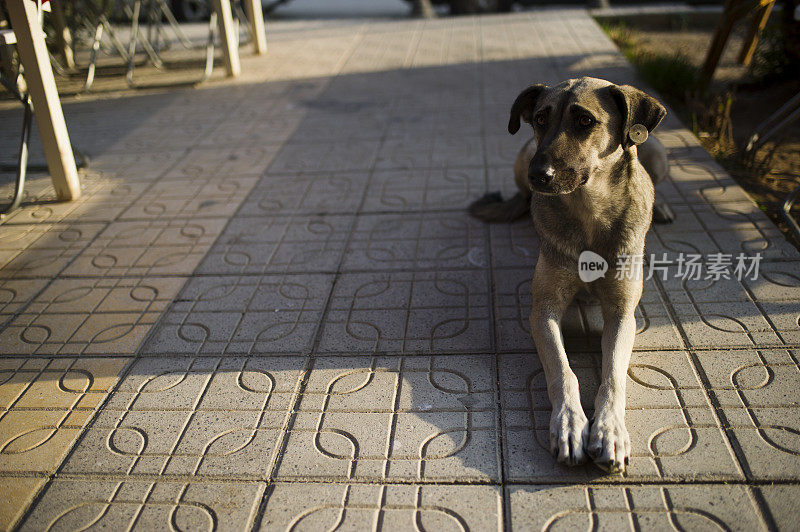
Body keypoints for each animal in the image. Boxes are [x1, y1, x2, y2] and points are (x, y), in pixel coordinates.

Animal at [468, 77, 668, 472]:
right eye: (541, 119)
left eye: (585, 121)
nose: (539, 175)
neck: (588, 210)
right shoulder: (542, 311)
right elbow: (563, 372)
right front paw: (571, 425)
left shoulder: (623, 313)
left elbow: (613, 377)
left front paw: (609, 431)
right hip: (522, 156)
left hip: (656, 150)